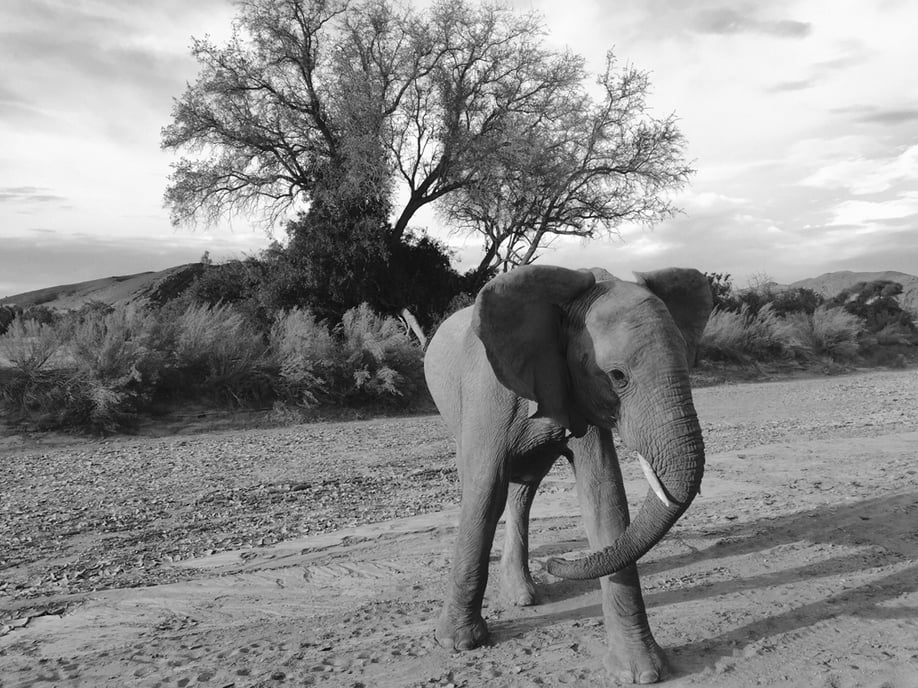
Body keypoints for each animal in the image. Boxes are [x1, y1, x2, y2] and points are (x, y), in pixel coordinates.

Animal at [423, 264, 713, 684]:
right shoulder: (489, 394)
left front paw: (642, 673)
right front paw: (459, 644)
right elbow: (484, 492)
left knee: (524, 492)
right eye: (617, 376)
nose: (555, 564)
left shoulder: (577, 391)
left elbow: (604, 496)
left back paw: (523, 595)